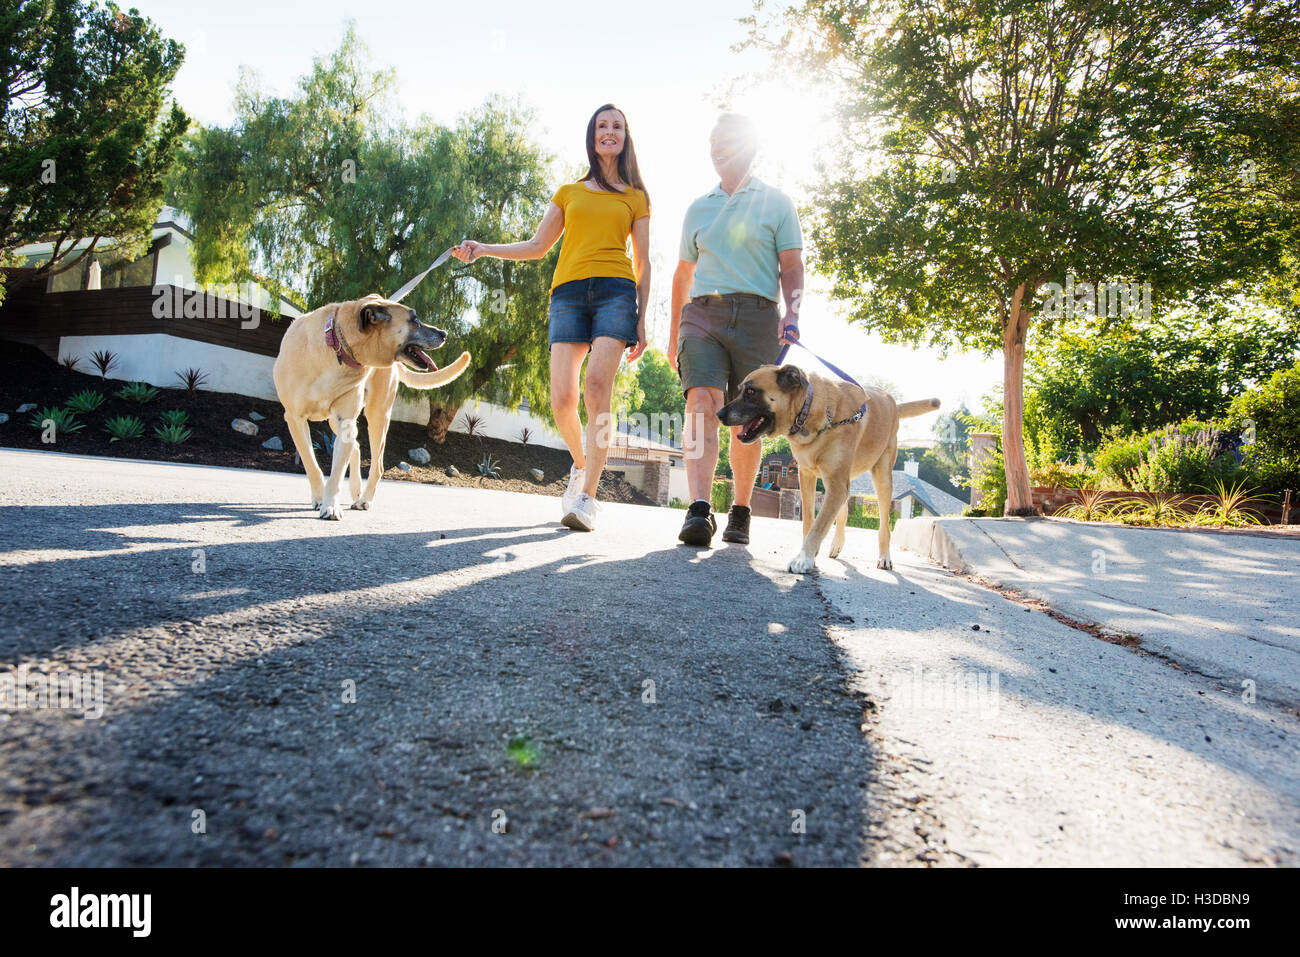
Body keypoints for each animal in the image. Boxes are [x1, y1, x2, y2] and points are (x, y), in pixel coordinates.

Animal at [271, 295, 470, 520]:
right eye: (414, 320)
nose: (444, 334)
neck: (337, 349)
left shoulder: (345, 421)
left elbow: (336, 473)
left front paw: (330, 506)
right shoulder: (295, 418)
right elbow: (310, 463)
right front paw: (320, 498)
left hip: (377, 417)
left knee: (375, 463)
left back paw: (364, 499)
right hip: (335, 421)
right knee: (356, 446)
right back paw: (355, 489)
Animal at [717, 364, 941, 574]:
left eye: (751, 391)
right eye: (740, 390)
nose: (719, 414)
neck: (810, 412)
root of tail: (891, 401)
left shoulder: (836, 482)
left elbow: (819, 524)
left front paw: (803, 558)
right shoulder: (808, 476)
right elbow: (810, 520)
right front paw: (809, 555)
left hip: (882, 478)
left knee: (884, 525)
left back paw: (885, 557)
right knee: (843, 509)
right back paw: (836, 544)